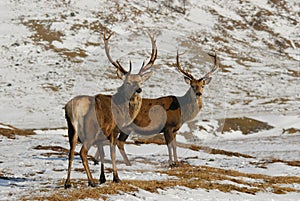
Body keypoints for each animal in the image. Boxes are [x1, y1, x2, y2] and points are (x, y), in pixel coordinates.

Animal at [63, 31, 157, 188]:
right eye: (127, 82)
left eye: (140, 81)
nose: (138, 90)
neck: (122, 111)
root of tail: (74, 108)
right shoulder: (113, 130)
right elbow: (112, 153)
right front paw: (116, 177)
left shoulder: (101, 137)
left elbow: (102, 154)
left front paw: (103, 178)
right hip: (90, 130)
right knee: (82, 152)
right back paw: (91, 181)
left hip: (72, 130)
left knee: (71, 152)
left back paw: (68, 183)